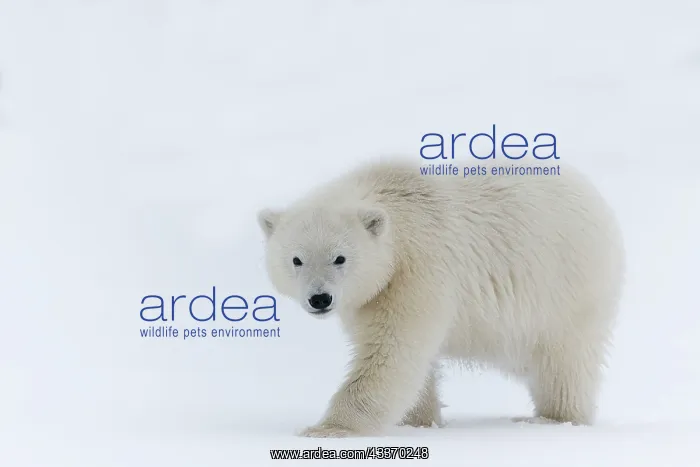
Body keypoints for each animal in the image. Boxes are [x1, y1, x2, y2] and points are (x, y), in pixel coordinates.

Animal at [256, 157, 625, 438]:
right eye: (296, 260)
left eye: (340, 258)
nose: (320, 298)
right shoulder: (367, 296)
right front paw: (418, 421)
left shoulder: (419, 270)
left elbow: (392, 351)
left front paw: (328, 429)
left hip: (565, 286)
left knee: (563, 361)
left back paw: (553, 418)